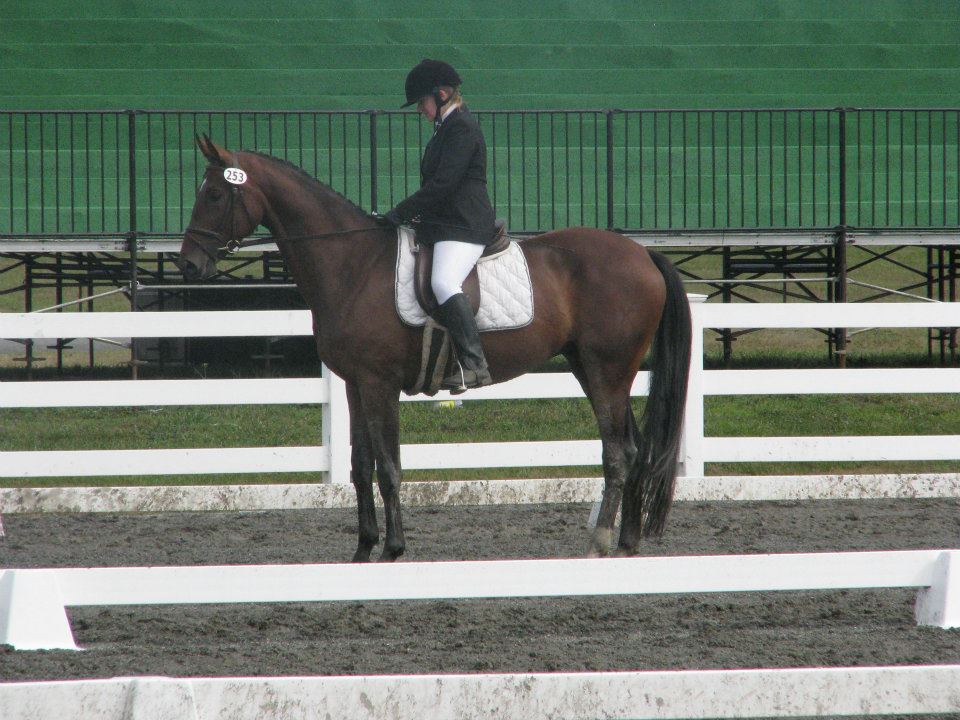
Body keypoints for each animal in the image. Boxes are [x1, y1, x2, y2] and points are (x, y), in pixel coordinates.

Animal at [176, 135, 692, 564]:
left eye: (215, 194)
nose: (189, 265)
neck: (352, 264)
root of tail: (641, 253)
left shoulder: (379, 383)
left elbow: (389, 468)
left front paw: (393, 550)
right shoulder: (354, 383)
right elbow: (360, 466)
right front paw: (362, 551)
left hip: (608, 370)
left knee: (618, 453)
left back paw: (600, 542)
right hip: (591, 367)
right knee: (635, 448)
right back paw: (626, 543)